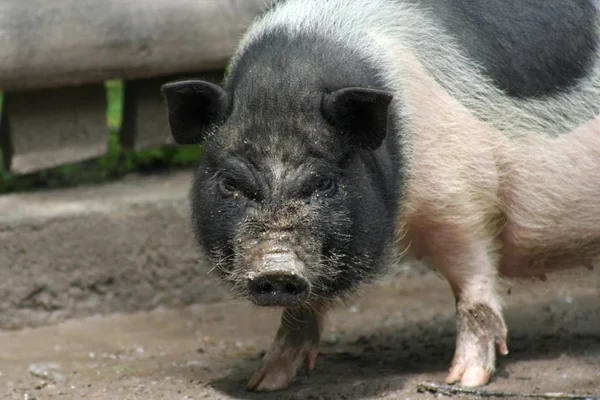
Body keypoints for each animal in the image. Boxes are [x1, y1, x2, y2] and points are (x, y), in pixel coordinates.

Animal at [161, 0, 600, 394]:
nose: (277, 268)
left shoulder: (462, 200)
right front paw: (263, 383)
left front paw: (462, 380)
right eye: (231, 184)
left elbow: (473, 288)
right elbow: (300, 314)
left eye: (324, 184)